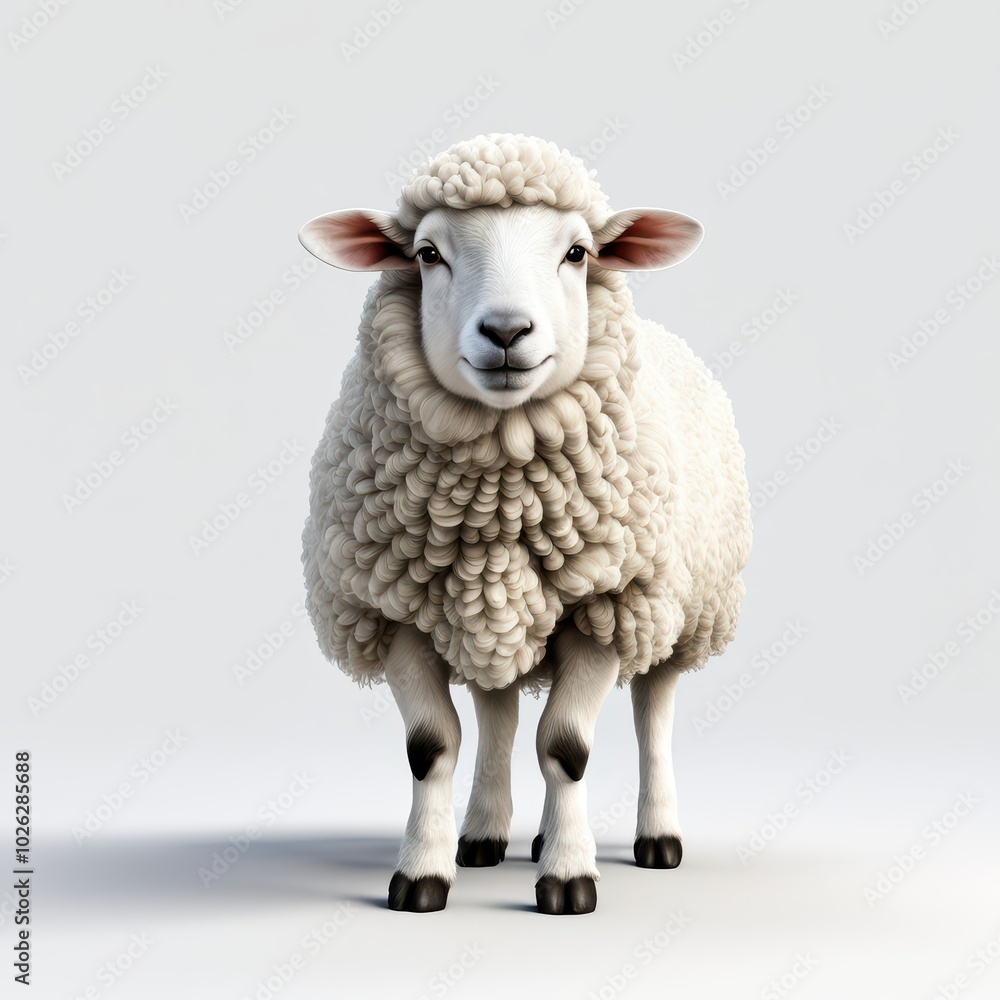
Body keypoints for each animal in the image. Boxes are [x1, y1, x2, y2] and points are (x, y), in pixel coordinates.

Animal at [299, 133, 751, 914]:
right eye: (427, 253)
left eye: (577, 253)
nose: (507, 331)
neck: (499, 503)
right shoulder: (392, 611)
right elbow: (432, 747)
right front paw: (422, 876)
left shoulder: (606, 604)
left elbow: (565, 748)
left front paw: (568, 880)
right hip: (488, 606)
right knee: (499, 712)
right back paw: (486, 834)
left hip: (680, 610)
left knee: (652, 717)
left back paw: (656, 837)